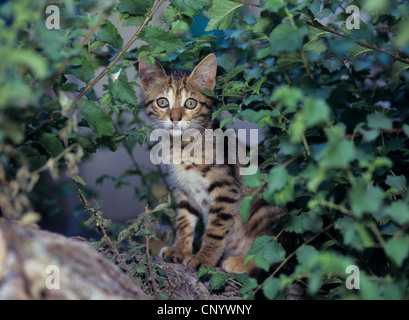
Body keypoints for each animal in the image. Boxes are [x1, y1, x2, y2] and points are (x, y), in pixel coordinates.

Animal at [139, 53, 286, 274]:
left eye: (190, 103)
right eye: (162, 102)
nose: (175, 118)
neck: (182, 145)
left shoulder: (226, 188)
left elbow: (216, 229)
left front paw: (205, 259)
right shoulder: (184, 189)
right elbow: (184, 221)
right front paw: (180, 249)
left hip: (263, 208)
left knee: (278, 255)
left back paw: (242, 262)